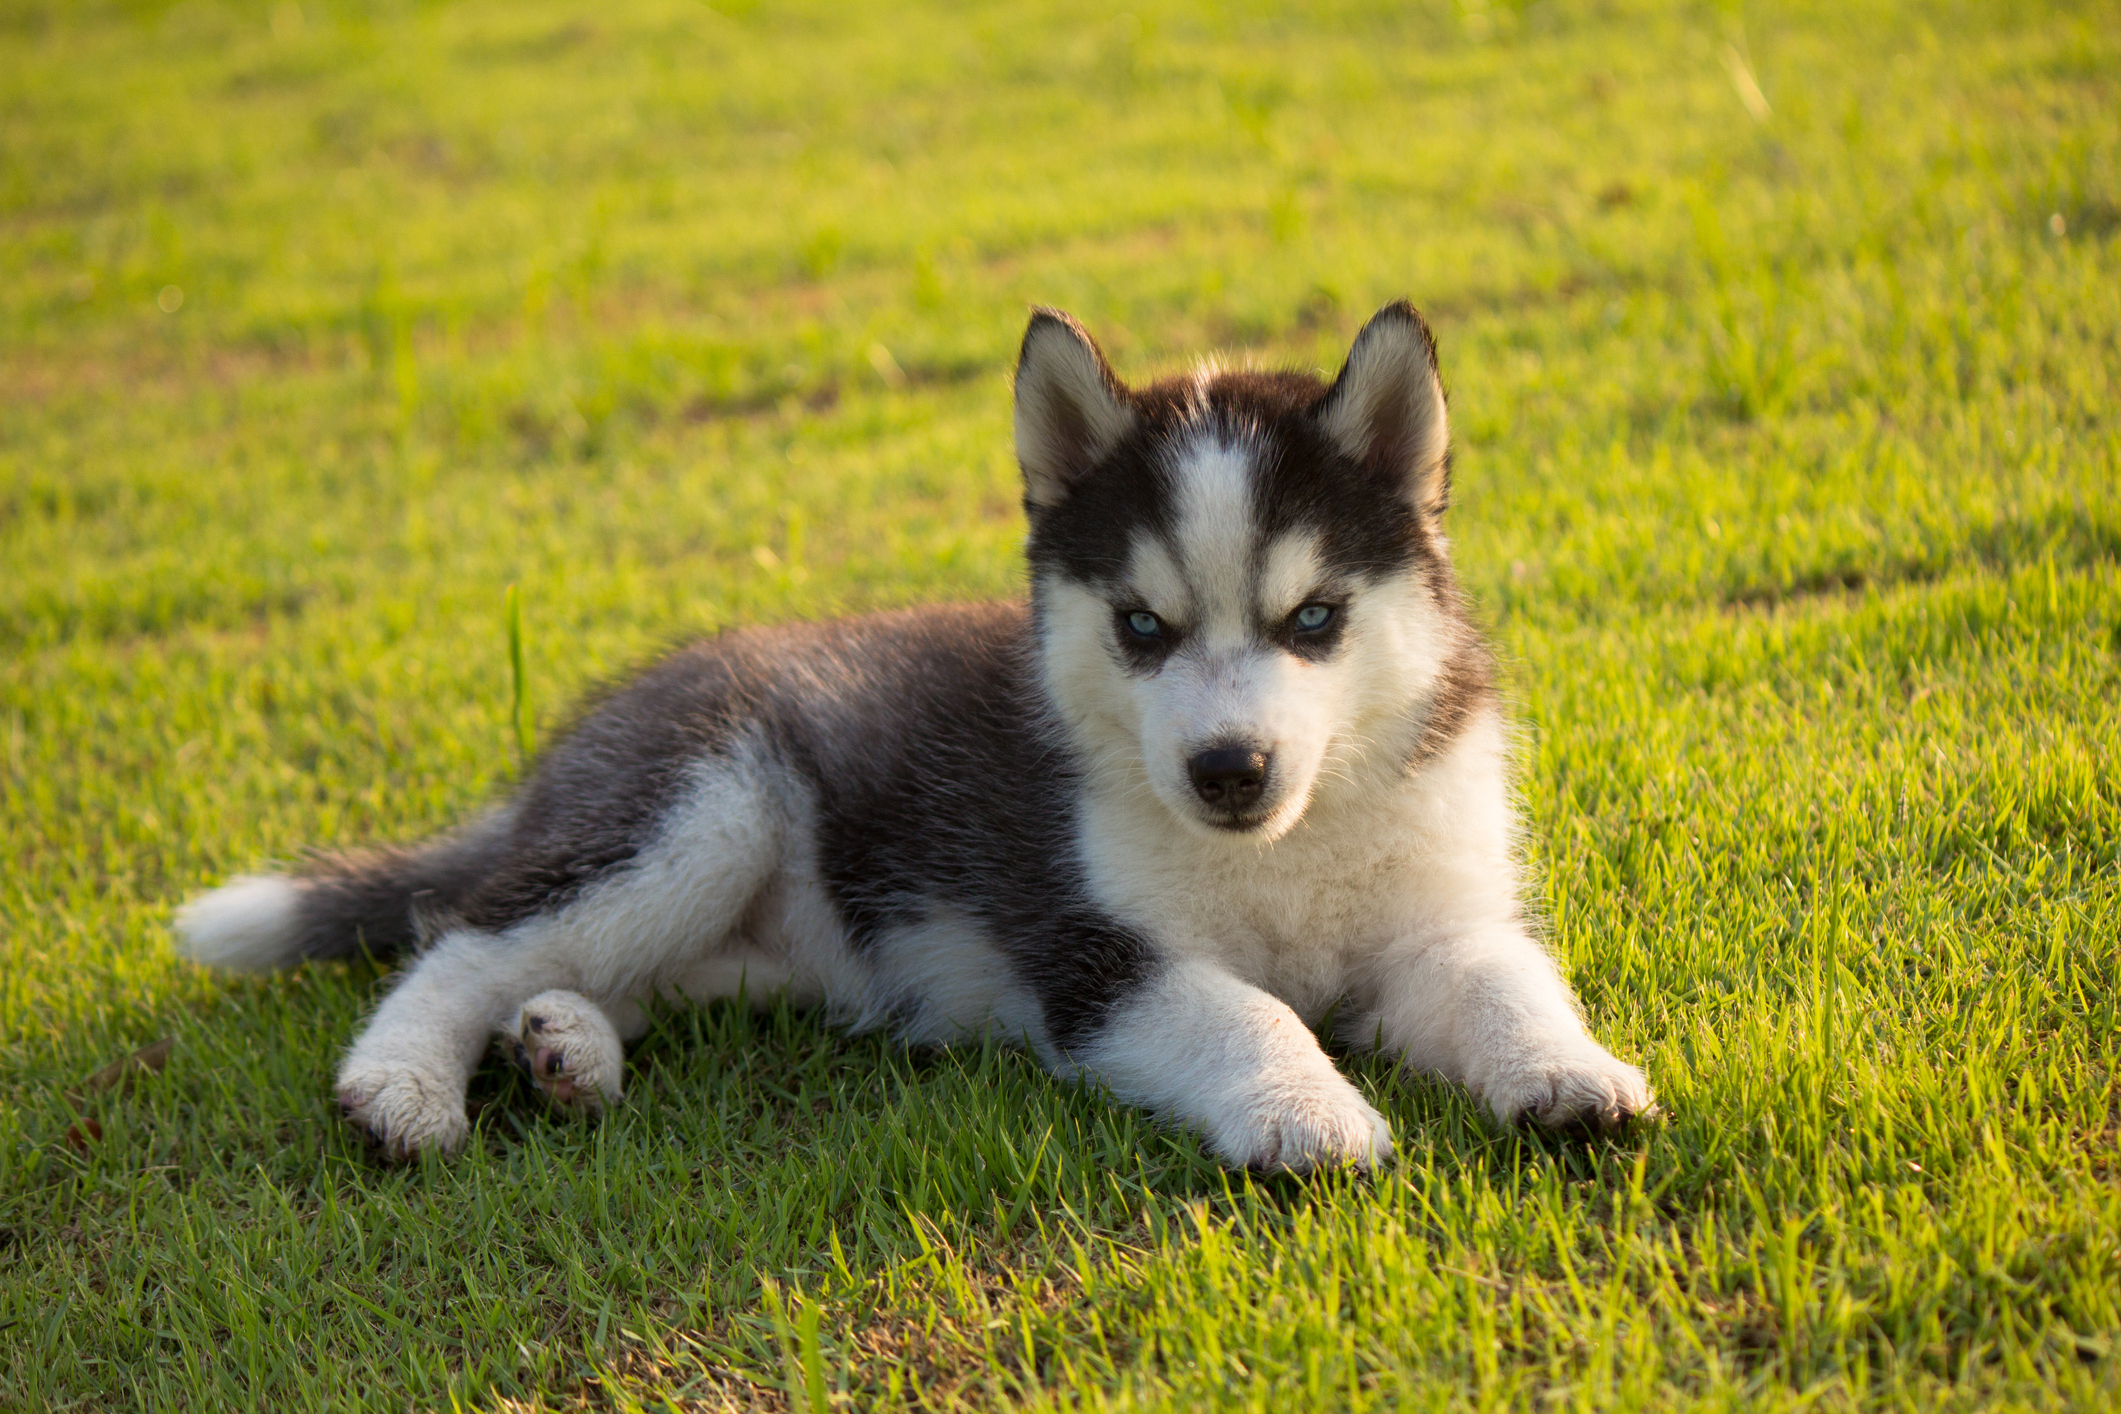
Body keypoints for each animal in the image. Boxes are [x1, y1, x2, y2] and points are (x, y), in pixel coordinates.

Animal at [173, 305, 1645, 1170]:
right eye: (1142, 626)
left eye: (1316, 618)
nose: (1229, 772)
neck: (1291, 844)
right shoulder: (1092, 953)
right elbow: (1247, 1006)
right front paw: (1310, 1107)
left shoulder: (1439, 918)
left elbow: (1504, 983)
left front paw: (1571, 1072)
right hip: (698, 813)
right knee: (464, 937)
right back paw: (403, 1085)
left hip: (742, 936)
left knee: (580, 969)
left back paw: (565, 1049)